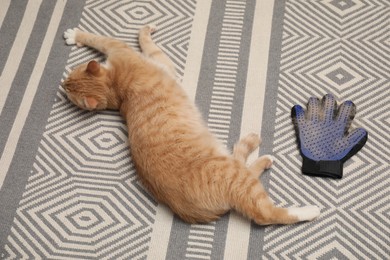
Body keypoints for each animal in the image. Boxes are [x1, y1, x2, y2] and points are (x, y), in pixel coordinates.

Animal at [63, 24, 320, 224]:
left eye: (70, 78)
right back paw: (305, 207)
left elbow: (124, 39)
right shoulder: (141, 54)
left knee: (246, 169)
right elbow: (120, 39)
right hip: (235, 175)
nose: (63, 85)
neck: (118, 90)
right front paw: (76, 35)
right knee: (265, 213)